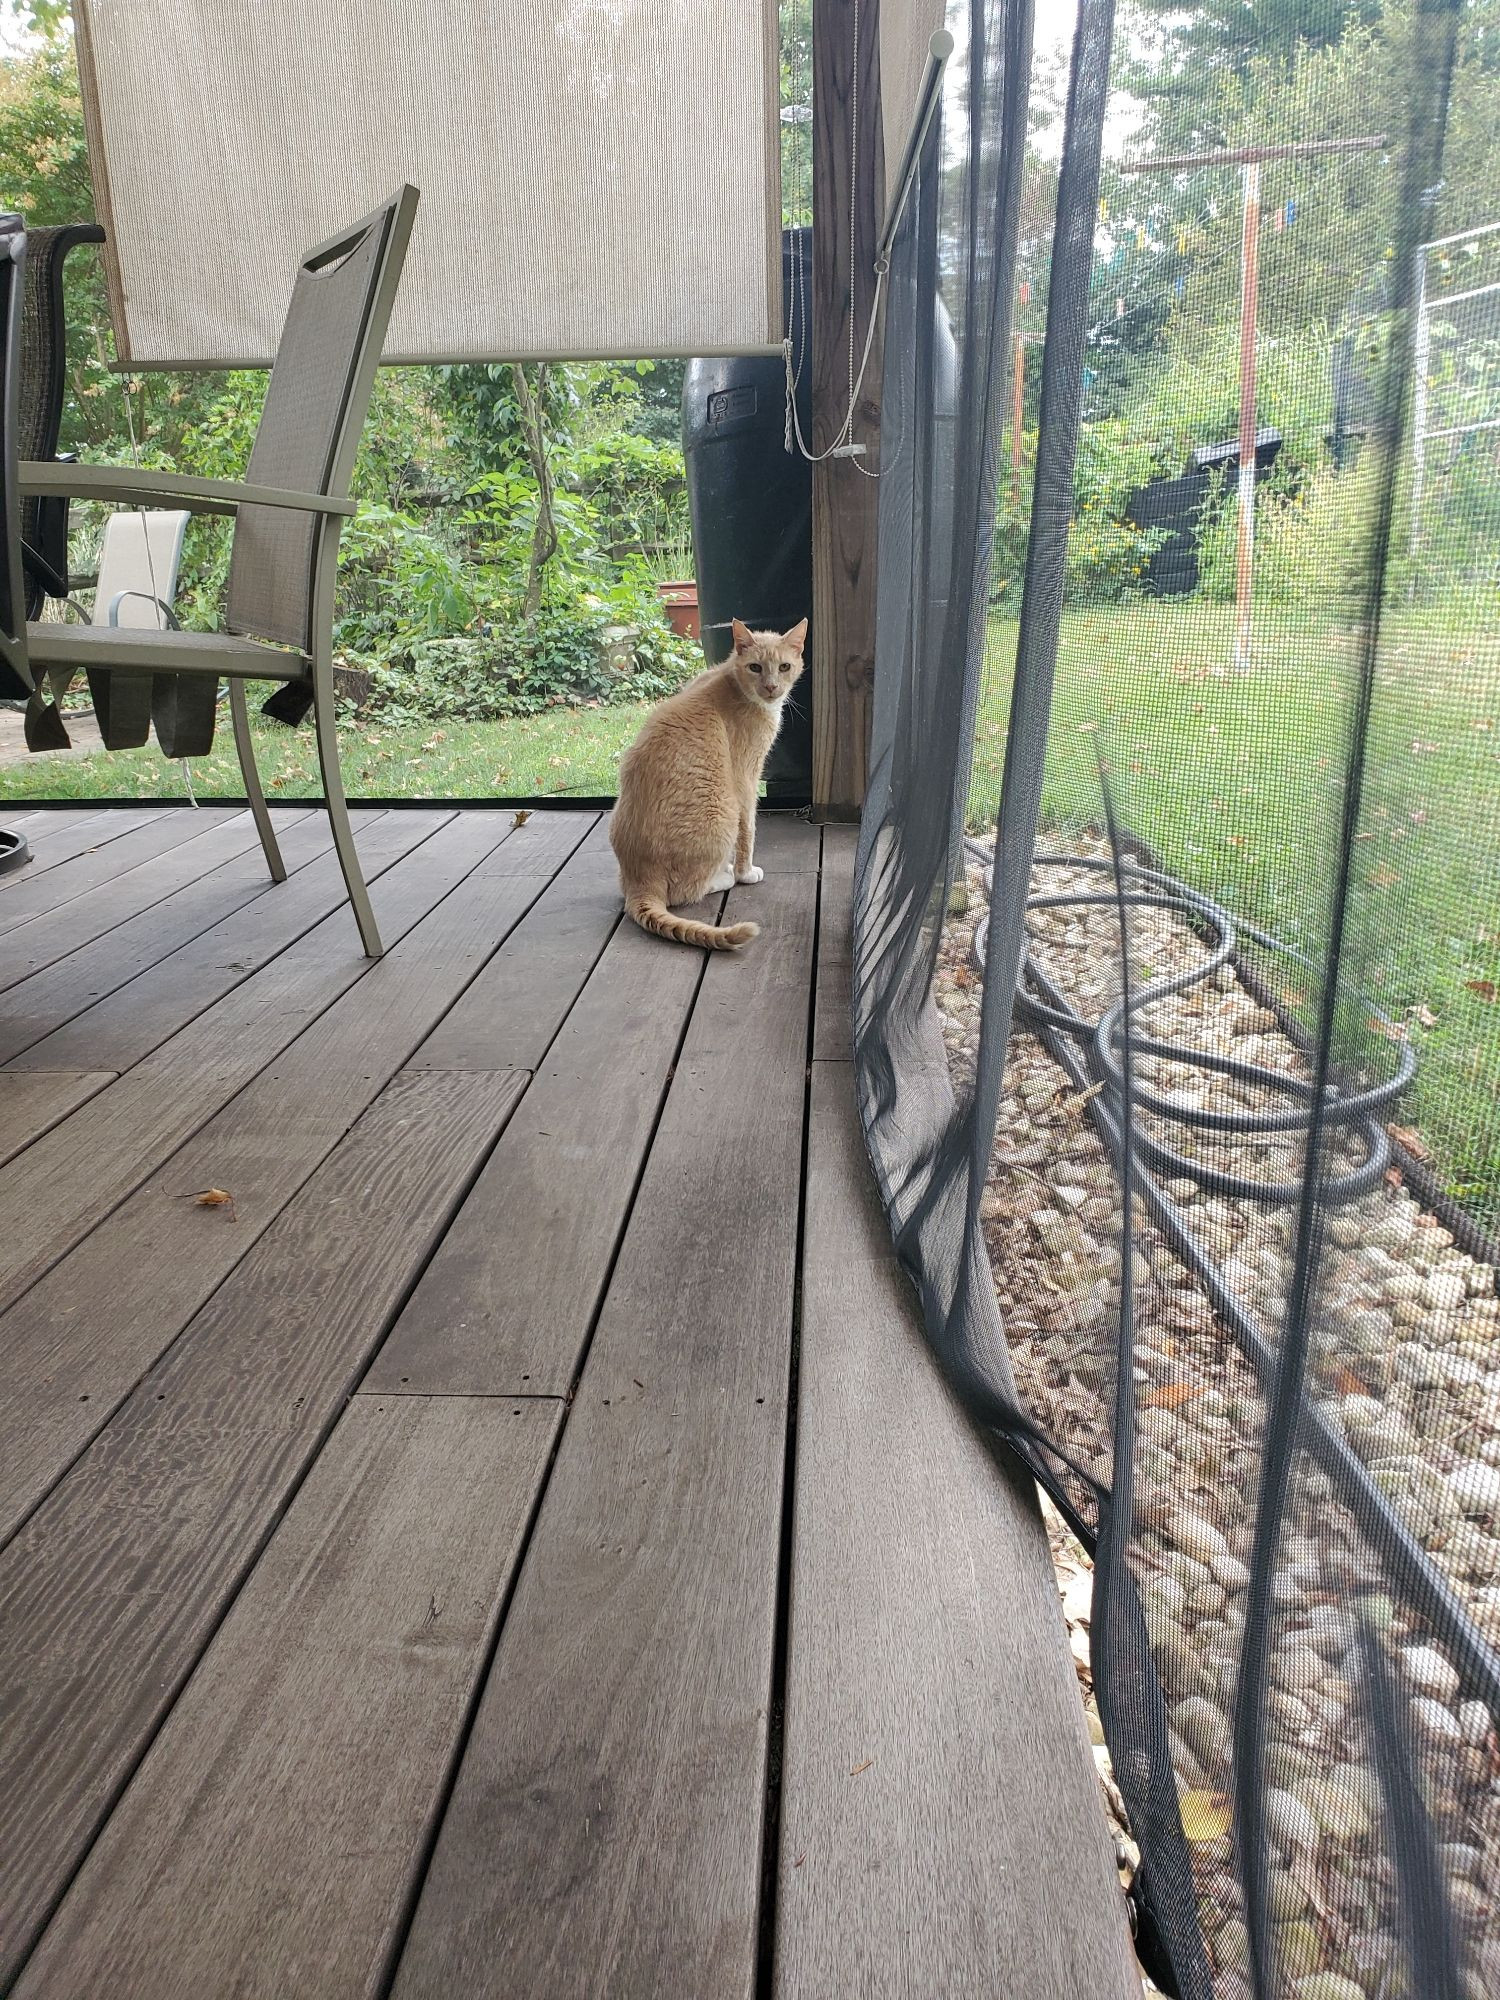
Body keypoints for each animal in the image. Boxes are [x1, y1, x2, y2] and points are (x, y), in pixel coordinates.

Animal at [612, 612, 812, 948]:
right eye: (755, 667)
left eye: (784, 667)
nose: (771, 687)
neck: (731, 681)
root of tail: (641, 881)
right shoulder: (746, 780)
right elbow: (749, 831)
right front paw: (746, 872)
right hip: (724, 811)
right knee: (684, 893)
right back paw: (725, 876)